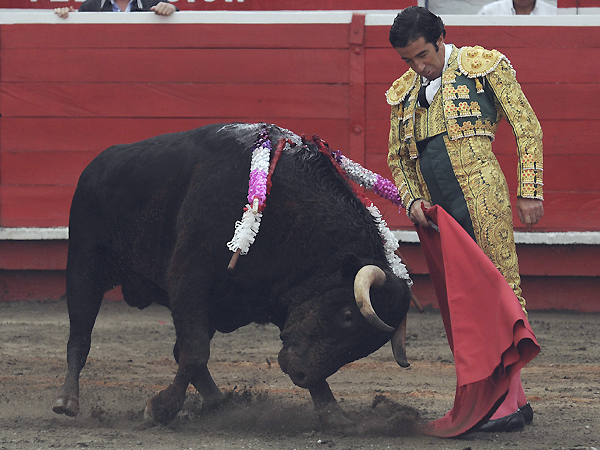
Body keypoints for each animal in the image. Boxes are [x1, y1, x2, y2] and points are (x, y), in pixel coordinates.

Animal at [52, 123, 412, 426]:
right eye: (348, 315)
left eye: (366, 346)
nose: (300, 375)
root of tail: (96, 164)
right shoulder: (189, 280)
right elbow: (194, 351)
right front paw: (160, 410)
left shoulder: (280, 296)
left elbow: (192, 353)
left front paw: (333, 413)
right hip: (84, 267)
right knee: (80, 337)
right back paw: (67, 402)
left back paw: (219, 401)